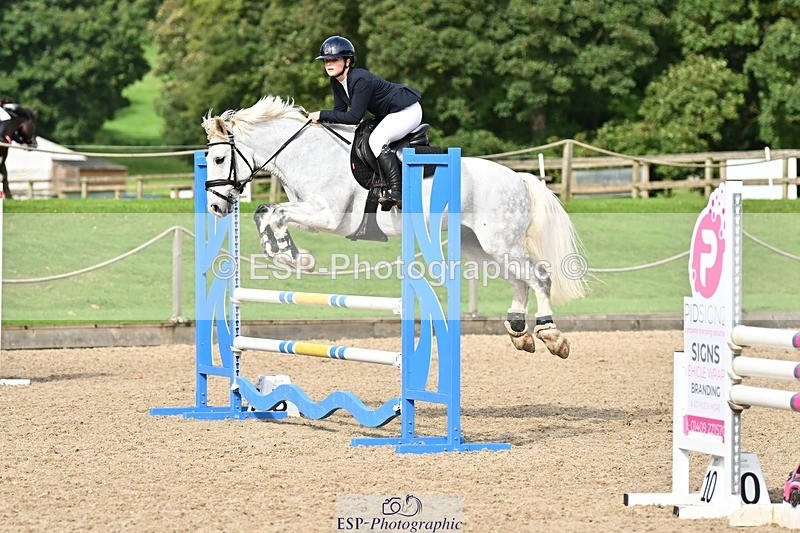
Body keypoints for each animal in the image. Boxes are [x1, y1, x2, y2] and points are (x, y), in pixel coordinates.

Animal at [202, 96, 587, 359]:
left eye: (220, 158)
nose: (215, 207)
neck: (307, 153)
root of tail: (520, 178)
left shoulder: (327, 216)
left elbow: (276, 214)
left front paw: (297, 258)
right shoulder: (309, 213)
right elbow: (266, 213)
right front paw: (285, 254)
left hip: (500, 243)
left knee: (540, 276)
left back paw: (551, 335)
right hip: (480, 247)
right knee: (520, 280)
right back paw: (520, 332)